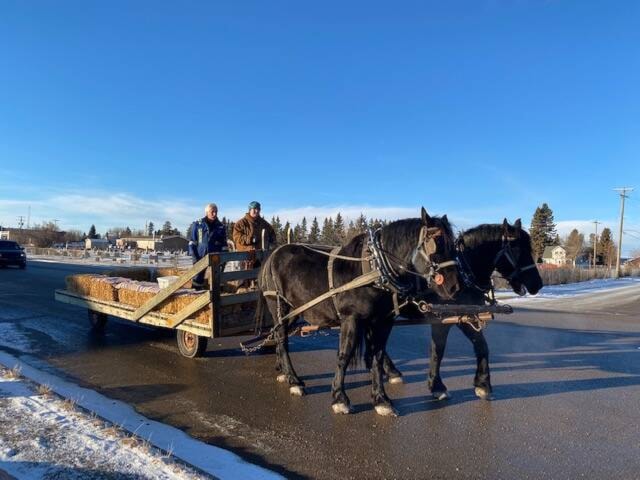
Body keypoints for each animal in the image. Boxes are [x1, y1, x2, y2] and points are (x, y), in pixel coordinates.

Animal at [255, 208, 460, 414]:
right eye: (436, 244)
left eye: (454, 246)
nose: (454, 287)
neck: (374, 270)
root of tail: (272, 254)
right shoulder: (351, 318)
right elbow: (344, 355)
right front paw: (339, 398)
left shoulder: (383, 321)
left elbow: (377, 356)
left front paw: (381, 399)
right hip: (279, 307)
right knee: (282, 340)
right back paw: (293, 380)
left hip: (294, 312)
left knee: (279, 337)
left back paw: (283, 371)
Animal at [382, 219, 544, 400]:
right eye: (517, 249)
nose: (538, 284)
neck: (464, 274)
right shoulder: (442, 321)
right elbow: (437, 350)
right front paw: (437, 386)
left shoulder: (467, 316)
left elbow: (482, 346)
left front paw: (483, 384)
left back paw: (391, 372)